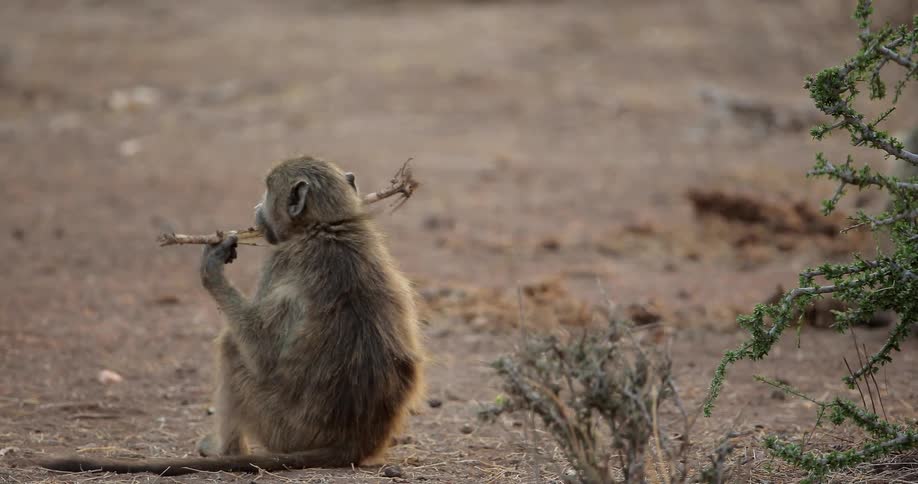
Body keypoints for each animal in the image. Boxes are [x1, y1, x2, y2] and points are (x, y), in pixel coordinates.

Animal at [41, 156, 425, 475]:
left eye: (267, 189)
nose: (255, 208)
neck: (327, 224)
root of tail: (352, 442)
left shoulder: (279, 261)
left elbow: (261, 352)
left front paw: (212, 268)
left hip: (281, 428)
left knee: (230, 347)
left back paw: (225, 451)